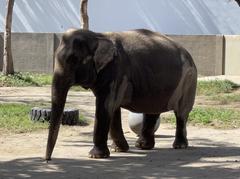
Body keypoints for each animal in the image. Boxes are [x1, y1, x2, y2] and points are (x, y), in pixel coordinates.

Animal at [45, 28, 197, 160]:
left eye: (73, 59)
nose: (48, 160)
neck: (98, 35)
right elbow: (112, 110)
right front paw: (118, 149)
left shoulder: (116, 70)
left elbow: (105, 107)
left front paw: (96, 156)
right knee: (152, 111)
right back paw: (142, 146)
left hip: (188, 81)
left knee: (181, 113)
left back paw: (179, 146)